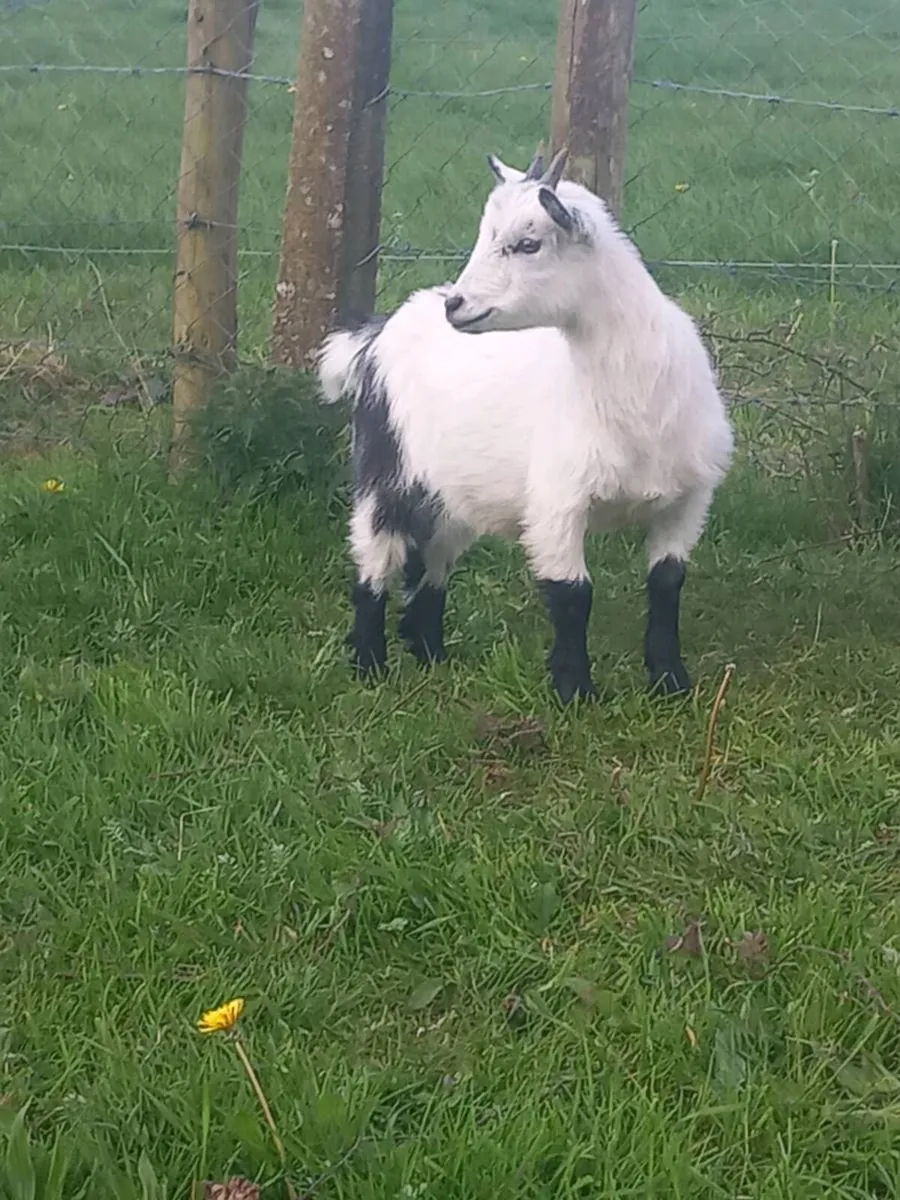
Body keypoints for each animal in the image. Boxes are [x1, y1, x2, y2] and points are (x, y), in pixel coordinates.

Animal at [317, 147, 734, 704]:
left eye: (528, 243)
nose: (456, 305)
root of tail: (379, 331)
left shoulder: (687, 501)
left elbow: (667, 586)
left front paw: (670, 684)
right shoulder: (557, 501)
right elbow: (572, 595)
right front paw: (576, 692)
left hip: (452, 492)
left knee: (431, 564)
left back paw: (431, 656)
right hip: (383, 470)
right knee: (373, 562)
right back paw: (369, 665)